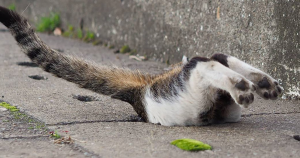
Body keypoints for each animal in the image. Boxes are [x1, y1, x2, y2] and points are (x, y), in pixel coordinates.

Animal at [0, 6, 284, 126]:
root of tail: (143, 91)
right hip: (202, 95)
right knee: (210, 60)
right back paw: (255, 85)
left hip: (198, 89)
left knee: (210, 60)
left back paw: (256, 85)